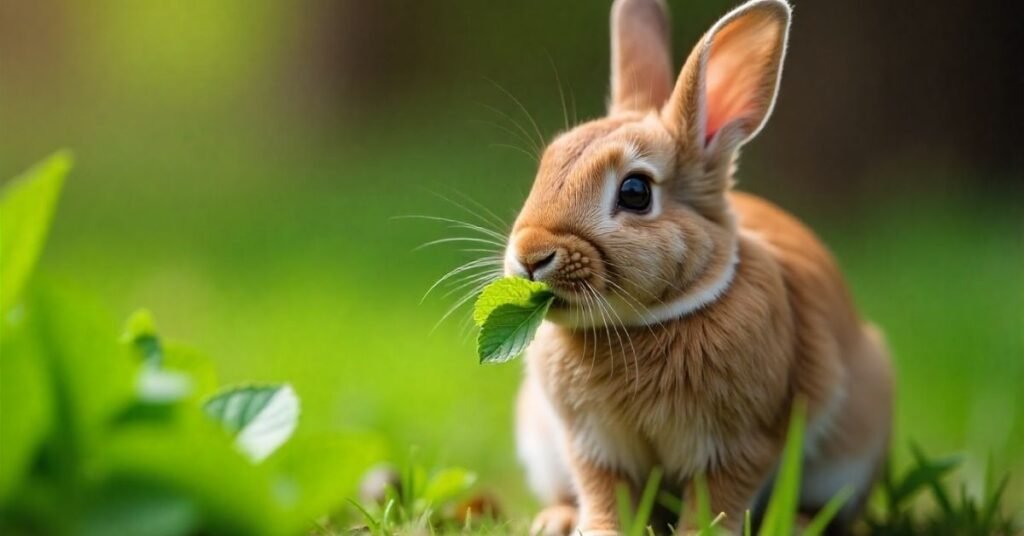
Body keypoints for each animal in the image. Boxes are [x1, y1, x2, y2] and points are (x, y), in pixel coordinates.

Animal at [504, 0, 894, 534]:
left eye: (635, 192)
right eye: (546, 167)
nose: (530, 256)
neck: (647, 323)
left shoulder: (738, 444)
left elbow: (717, 500)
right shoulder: (593, 444)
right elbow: (605, 495)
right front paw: (597, 529)